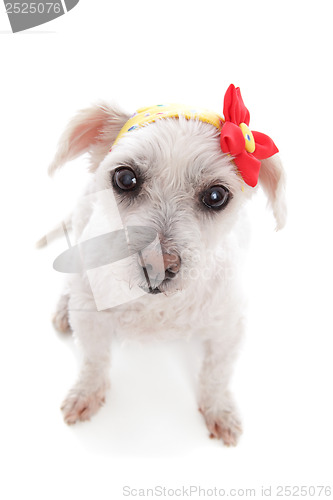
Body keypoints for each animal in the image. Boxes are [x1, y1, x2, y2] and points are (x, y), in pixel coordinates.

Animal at [44, 85, 286, 446]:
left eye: (216, 196)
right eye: (125, 178)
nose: (159, 266)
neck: (155, 306)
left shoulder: (230, 327)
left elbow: (217, 373)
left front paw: (219, 409)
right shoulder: (90, 320)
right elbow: (94, 360)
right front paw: (86, 392)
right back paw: (63, 306)